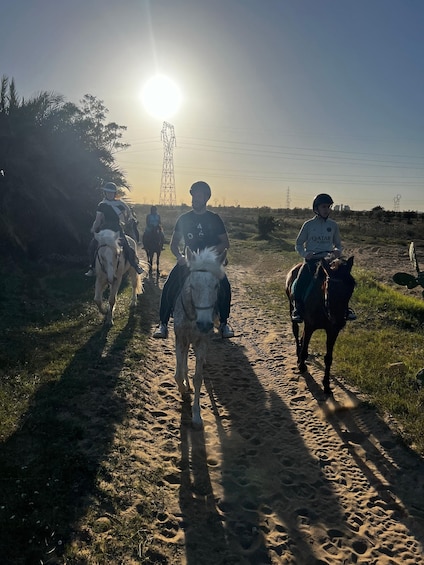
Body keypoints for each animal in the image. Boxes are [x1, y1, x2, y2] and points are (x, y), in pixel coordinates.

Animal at [172, 247, 227, 428]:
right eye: (192, 285)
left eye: (216, 286)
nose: (204, 324)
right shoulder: (180, 338)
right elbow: (178, 373)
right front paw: (183, 388)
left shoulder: (201, 342)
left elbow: (198, 378)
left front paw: (196, 415)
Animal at [286, 258, 356, 394]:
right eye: (330, 287)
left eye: (351, 288)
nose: (339, 321)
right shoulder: (309, 326)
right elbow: (304, 350)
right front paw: (301, 365)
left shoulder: (333, 331)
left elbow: (328, 358)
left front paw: (327, 384)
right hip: (292, 309)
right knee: (296, 332)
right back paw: (298, 354)